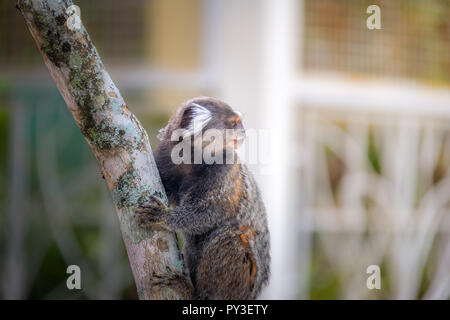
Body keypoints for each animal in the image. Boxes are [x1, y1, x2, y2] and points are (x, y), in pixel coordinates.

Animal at [136, 96, 270, 298]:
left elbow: (210, 212)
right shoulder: (163, 159)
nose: (243, 132)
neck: (192, 159)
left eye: (239, 123)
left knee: (229, 237)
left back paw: (191, 291)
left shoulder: (224, 169)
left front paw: (164, 217)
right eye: (234, 123)